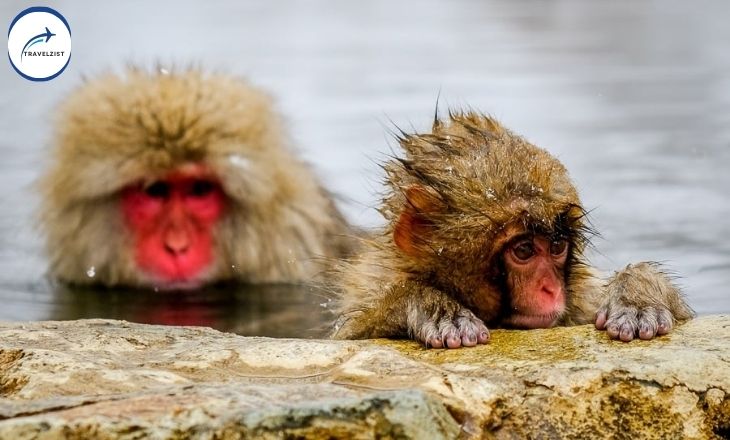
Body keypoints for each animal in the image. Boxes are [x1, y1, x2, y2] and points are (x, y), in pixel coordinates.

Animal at [332, 111, 692, 348]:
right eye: (524, 250)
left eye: (557, 246)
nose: (551, 289)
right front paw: (428, 304)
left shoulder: (580, 301)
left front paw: (638, 295)